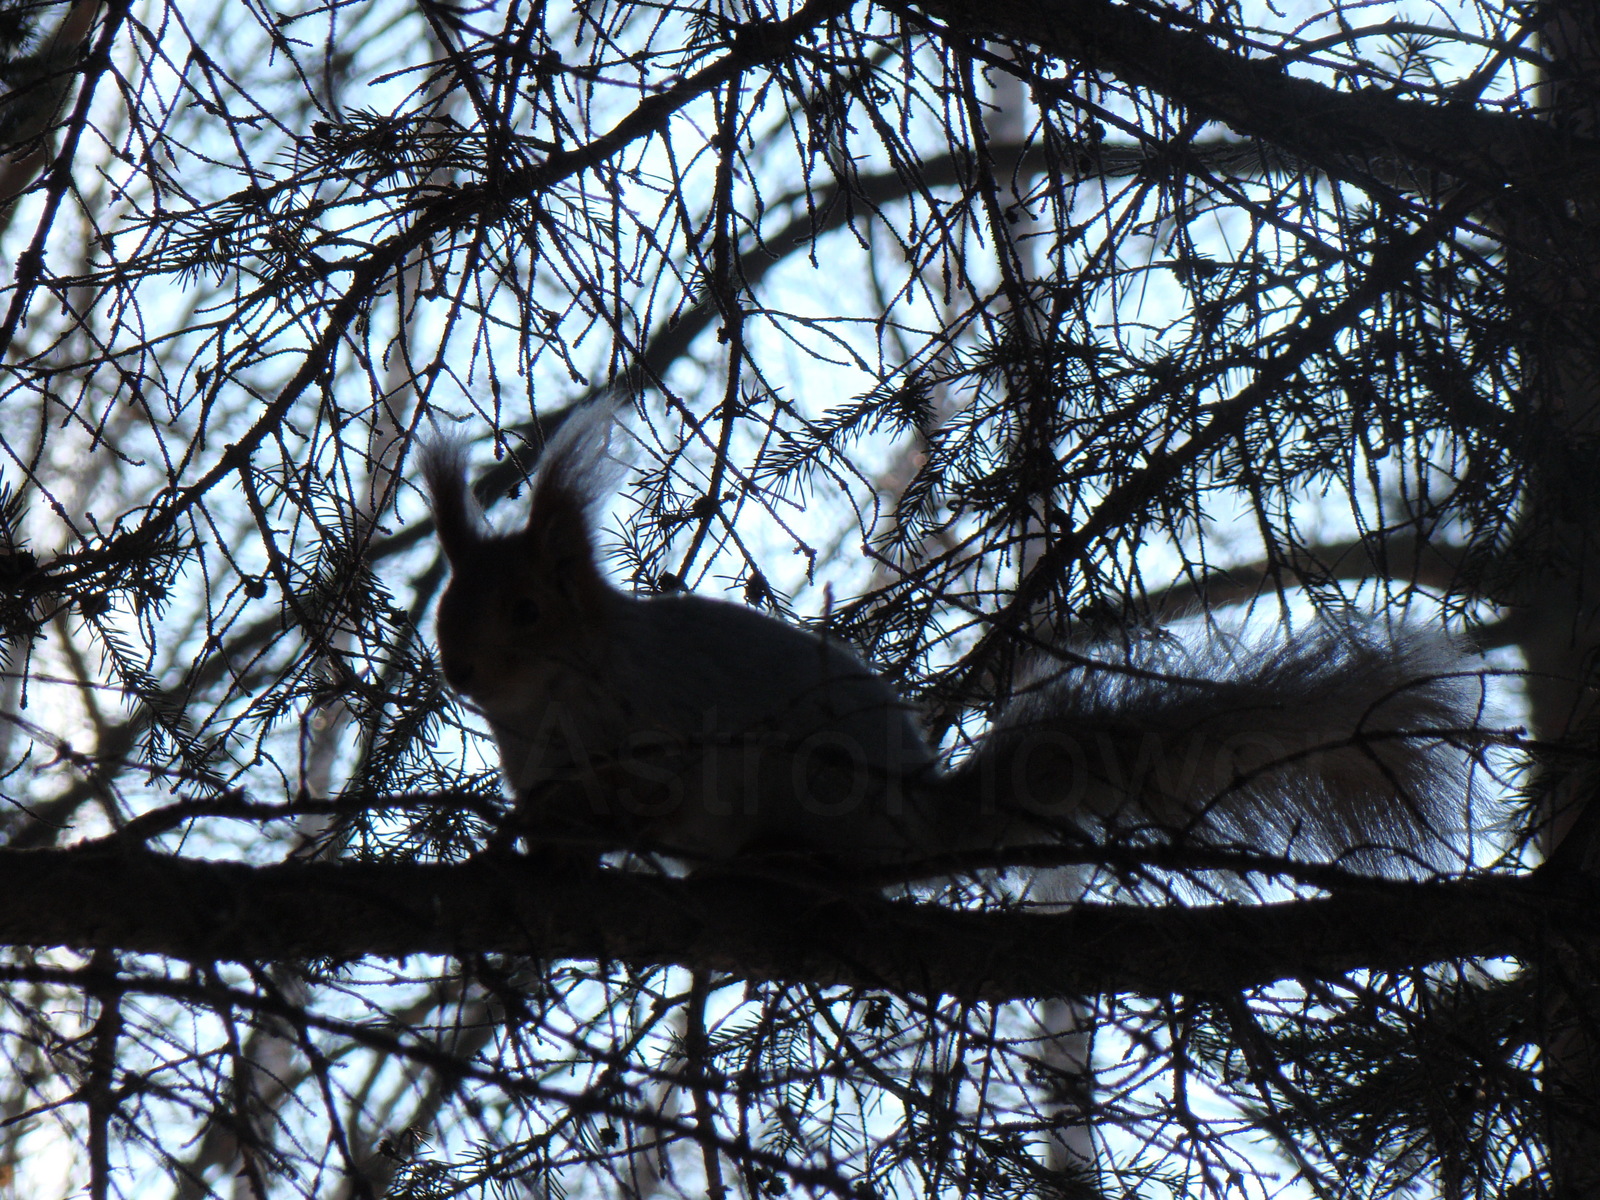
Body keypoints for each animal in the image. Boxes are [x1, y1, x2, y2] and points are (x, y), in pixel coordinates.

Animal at [422, 409, 1472, 876]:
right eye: (445, 602)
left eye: (527, 610)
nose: (456, 670)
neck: (549, 707)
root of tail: (920, 822)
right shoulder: (538, 766)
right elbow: (554, 826)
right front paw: (528, 848)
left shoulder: (670, 717)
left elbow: (663, 792)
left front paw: (623, 823)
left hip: (824, 792)